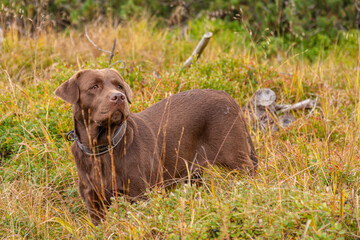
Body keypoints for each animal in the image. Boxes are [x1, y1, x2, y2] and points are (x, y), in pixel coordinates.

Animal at [54, 68, 258, 224]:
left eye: (119, 85)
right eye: (94, 86)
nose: (119, 97)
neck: (102, 148)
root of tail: (225, 95)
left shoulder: (142, 194)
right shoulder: (94, 203)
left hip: (236, 158)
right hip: (194, 173)